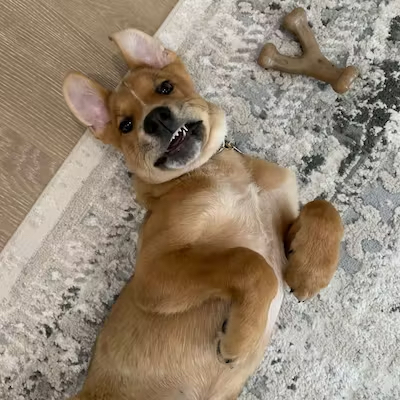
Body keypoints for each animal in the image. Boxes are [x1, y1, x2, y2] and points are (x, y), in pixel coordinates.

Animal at [63, 28, 344, 400]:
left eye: (165, 87)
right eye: (125, 125)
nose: (156, 118)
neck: (212, 168)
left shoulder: (279, 221)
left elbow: (324, 207)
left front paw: (311, 271)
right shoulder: (154, 272)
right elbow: (249, 263)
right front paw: (240, 339)